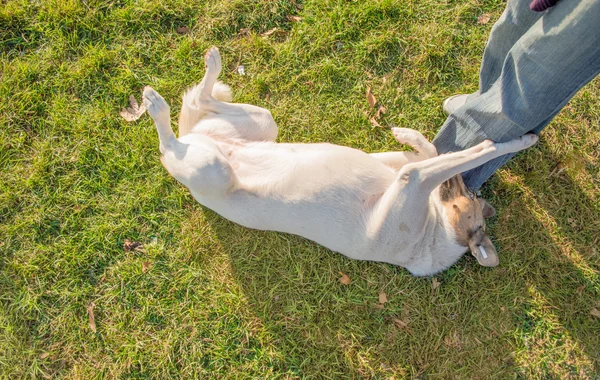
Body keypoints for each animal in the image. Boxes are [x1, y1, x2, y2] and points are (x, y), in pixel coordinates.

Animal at [142, 46, 540, 276]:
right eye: (469, 196)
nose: (464, 186)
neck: (433, 231)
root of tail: (197, 140)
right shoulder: (404, 168)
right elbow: (439, 151)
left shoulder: (410, 176)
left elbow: (472, 152)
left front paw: (513, 140)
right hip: (260, 123)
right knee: (198, 103)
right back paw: (196, 76)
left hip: (213, 166)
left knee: (168, 143)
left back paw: (157, 106)